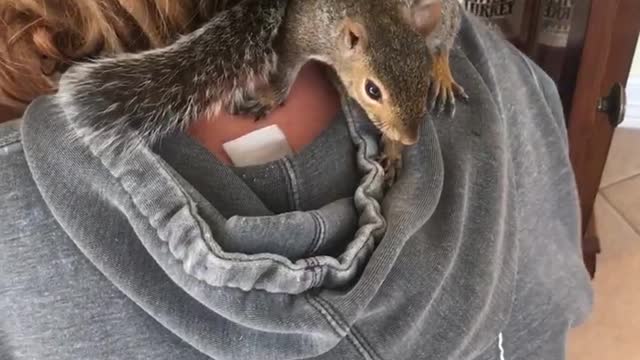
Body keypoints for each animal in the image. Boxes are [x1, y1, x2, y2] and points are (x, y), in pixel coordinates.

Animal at [56, 0, 464, 184]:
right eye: (372, 90)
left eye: (420, 82)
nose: (411, 138)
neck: (378, 14)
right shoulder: (303, 30)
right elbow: (286, 67)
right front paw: (270, 96)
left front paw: (393, 151)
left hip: (444, 15)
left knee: (444, 39)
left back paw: (444, 71)